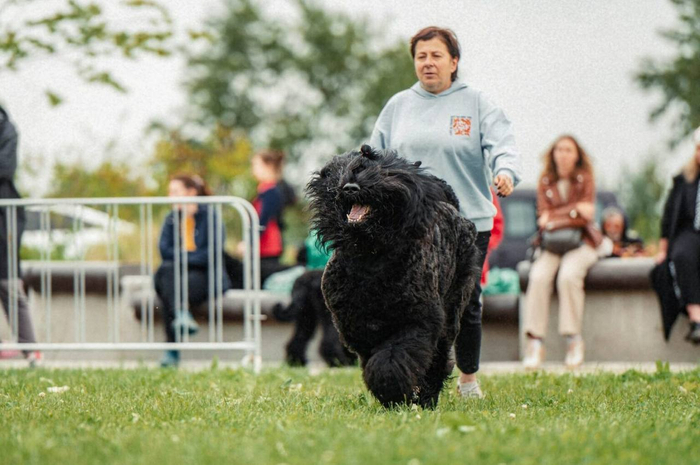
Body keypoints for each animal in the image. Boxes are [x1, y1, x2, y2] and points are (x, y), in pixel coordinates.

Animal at [308, 145, 482, 406]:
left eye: (385, 173)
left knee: (439, 358)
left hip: (451, 311)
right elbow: (373, 359)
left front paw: (392, 391)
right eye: (346, 169)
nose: (350, 188)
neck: (370, 257)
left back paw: (427, 397)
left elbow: (391, 359)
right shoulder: (357, 325)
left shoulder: (417, 320)